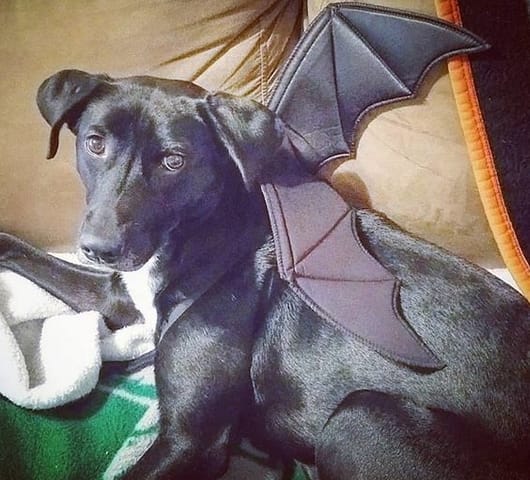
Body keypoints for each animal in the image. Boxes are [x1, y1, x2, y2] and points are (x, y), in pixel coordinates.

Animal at [1, 69, 529, 480]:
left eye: (174, 160)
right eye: (95, 143)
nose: (99, 249)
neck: (201, 234)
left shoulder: (191, 441)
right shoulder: (120, 292)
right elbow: (23, 250)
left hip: (361, 417)